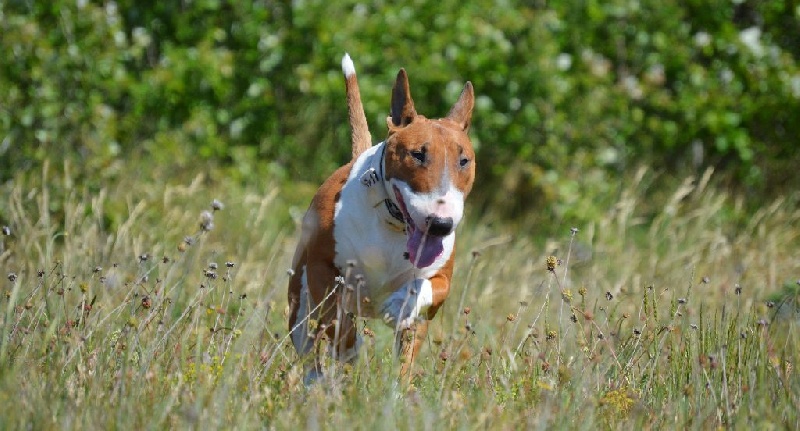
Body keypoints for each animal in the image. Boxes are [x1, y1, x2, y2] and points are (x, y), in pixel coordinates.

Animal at [290, 54, 472, 384]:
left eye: (464, 160)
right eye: (417, 154)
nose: (441, 225)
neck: (394, 225)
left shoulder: (440, 283)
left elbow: (425, 289)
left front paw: (400, 303)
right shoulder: (322, 270)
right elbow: (339, 327)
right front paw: (350, 349)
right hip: (298, 300)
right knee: (309, 347)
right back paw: (319, 381)